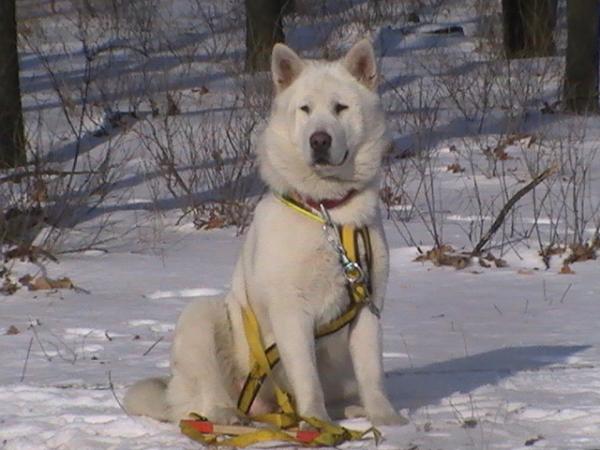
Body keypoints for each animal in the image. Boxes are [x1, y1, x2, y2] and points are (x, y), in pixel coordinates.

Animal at [126, 37, 408, 426]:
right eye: (305, 109)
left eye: (340, 108)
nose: (319, 140)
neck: (326, 212)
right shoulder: (291, 313)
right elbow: (307, 379)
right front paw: (317, 424)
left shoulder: (367, 308)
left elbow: (372, 374)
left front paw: (386, 420)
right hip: (202, 318)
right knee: (204, 398)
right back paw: (227, 416)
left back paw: (349, 411)